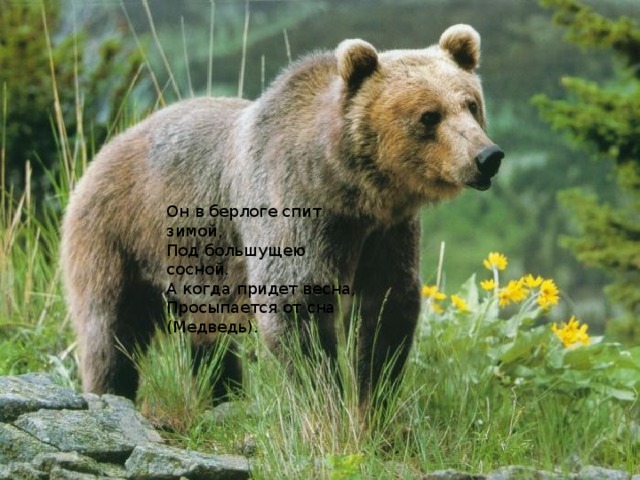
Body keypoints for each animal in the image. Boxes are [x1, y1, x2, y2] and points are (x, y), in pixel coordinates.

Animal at [61, 24, 502, 407]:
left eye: (471, 104)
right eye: (429, 115)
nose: (487, 156)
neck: (344, 186)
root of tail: (102, 152)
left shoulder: (385, 232)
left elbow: (386, 308)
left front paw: (373, 399)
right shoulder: (290, 209)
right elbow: (294, 303)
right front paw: (326, 399)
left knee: (210, 336)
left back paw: (224, 393)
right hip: (120, 235)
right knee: (111, 328)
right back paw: (111, 390)